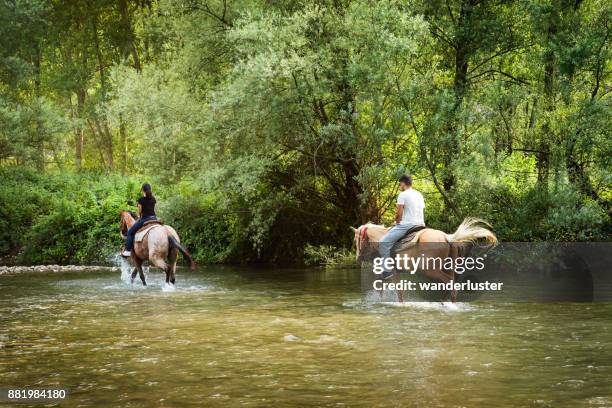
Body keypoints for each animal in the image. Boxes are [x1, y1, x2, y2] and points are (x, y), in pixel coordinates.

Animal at [352, 218, 500, 302]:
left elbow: (397, 291)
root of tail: (447, 237)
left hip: (432, 271)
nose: (358, 258)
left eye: (356, 239)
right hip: (448, 268)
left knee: (451, 285)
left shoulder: (393, 272)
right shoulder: (395, 272)